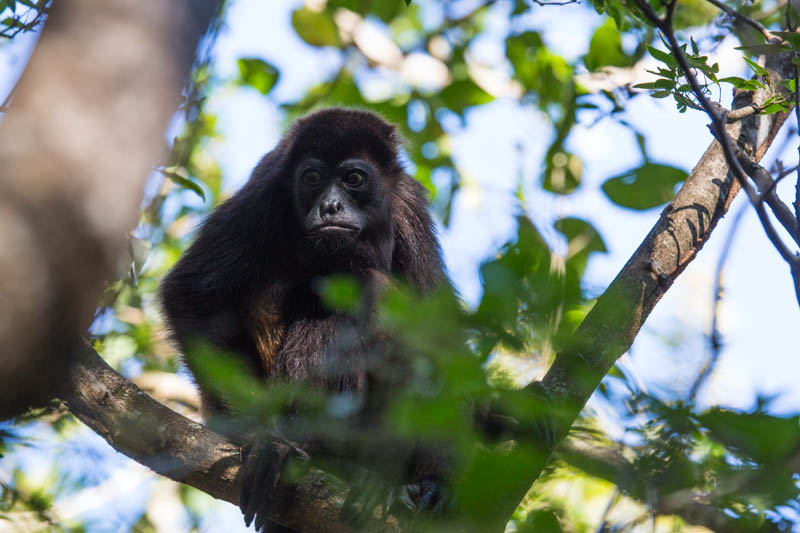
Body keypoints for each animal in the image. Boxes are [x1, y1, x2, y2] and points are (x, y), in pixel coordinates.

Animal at [159, 107, 454, 528]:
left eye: (353, 178)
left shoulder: (408, 204)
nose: (330, 207)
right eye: (312, 178)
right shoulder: (265, 193)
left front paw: (435, 482)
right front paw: (261, 440)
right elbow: (191, 293)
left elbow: (439, 336)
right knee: (349, 293)